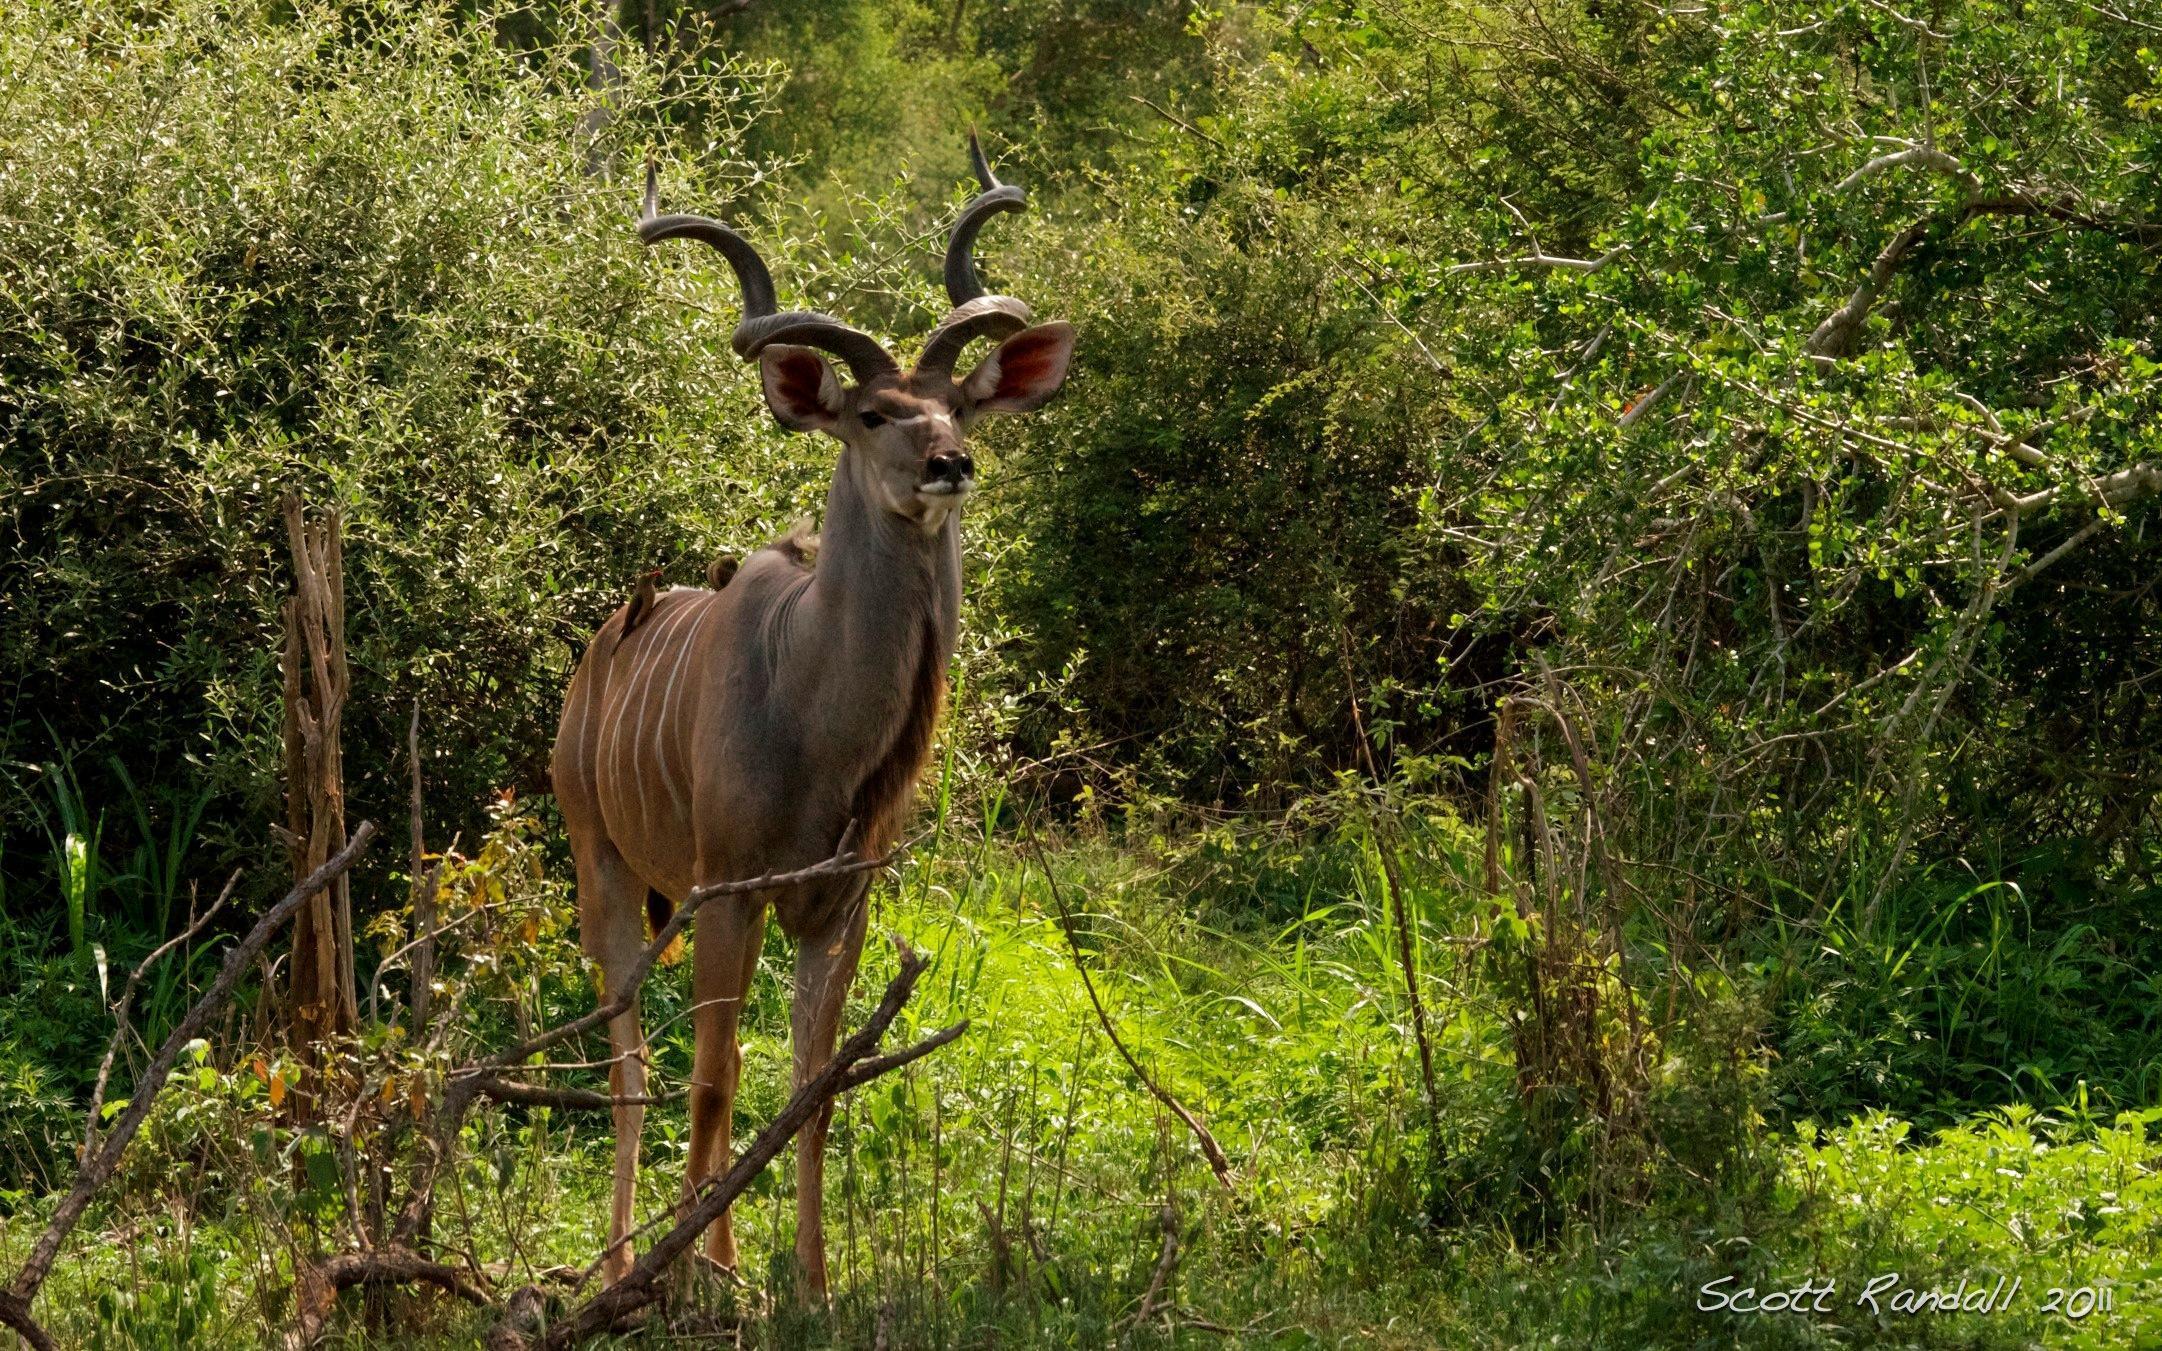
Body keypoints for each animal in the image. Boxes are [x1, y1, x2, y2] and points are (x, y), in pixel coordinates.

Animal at [549, 139, 1072, 1296]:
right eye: (872, 414)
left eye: (958, 407)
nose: (949, 464)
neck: (815, 721)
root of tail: (593, 658)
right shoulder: (733, 892)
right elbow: (709, 1081)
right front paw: (691, 1280)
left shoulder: (839, 906)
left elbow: (809, 1087)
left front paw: (810, 1282)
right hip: (603, 865)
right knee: (633, 1061)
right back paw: (622, 1263)